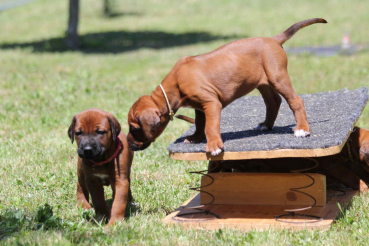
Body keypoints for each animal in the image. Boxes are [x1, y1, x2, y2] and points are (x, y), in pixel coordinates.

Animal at [128, 17, 326, 156]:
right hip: (263, 82)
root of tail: (273, 39)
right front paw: (195, 138)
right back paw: (266, 125)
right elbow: (200, 124)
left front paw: (213, 145)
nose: (128, 144)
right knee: (273, 102)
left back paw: (302, 129)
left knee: (295, 100)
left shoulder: (211, 103)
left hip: (278, 77)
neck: (175, 85)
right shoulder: (201, 107)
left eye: (135, 128)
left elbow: (210, 126)